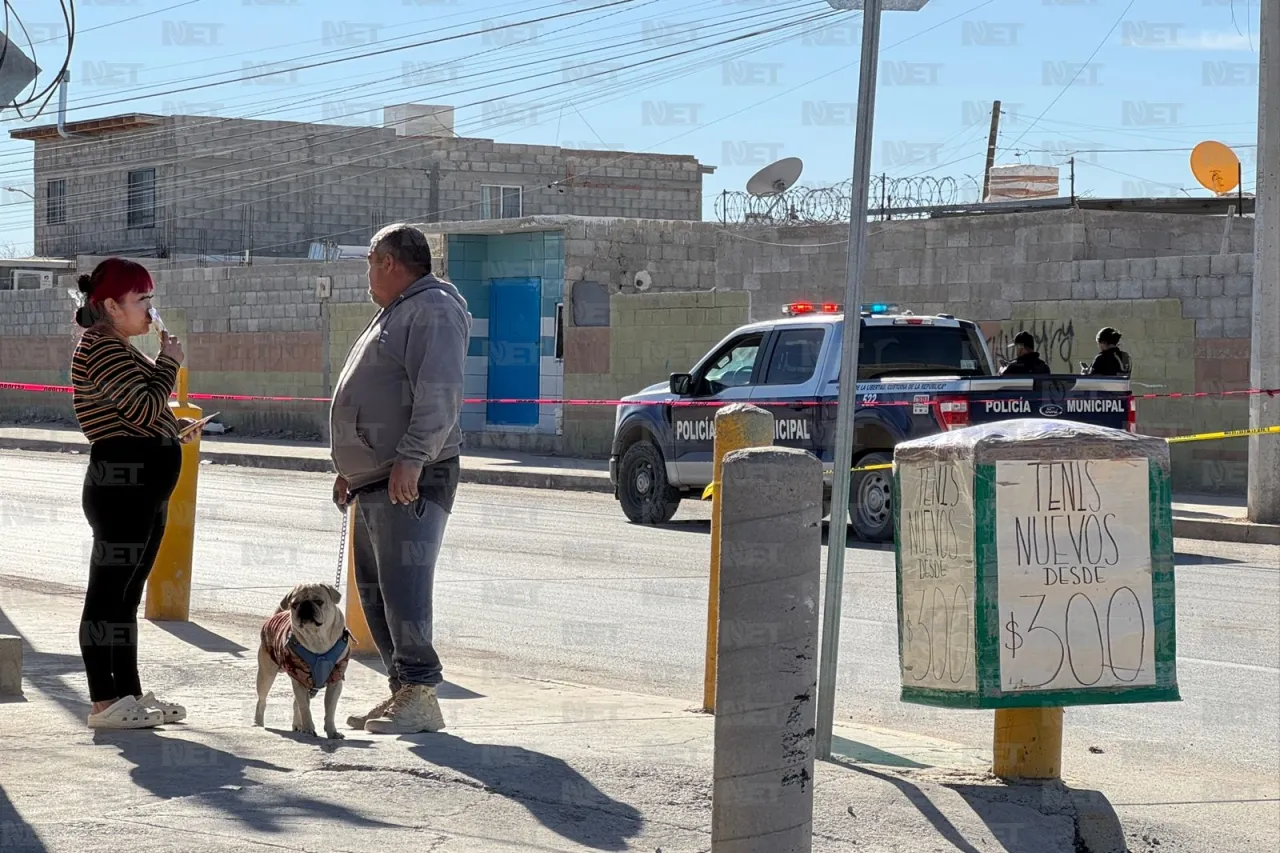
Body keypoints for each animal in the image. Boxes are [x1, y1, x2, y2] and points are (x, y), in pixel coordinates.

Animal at [252, 578, 353, 737]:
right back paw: (258, 722)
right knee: (262, 700)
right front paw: (309, 728)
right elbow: (305, 708)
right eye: (294, 605)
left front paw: (332, 731)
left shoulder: (335, 680)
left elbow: (330, 710)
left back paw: (297, 725)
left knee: (296, 704)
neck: (317, 638)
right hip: (266, 675)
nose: (305, 605)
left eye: (319, 601)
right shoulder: (299, 678)